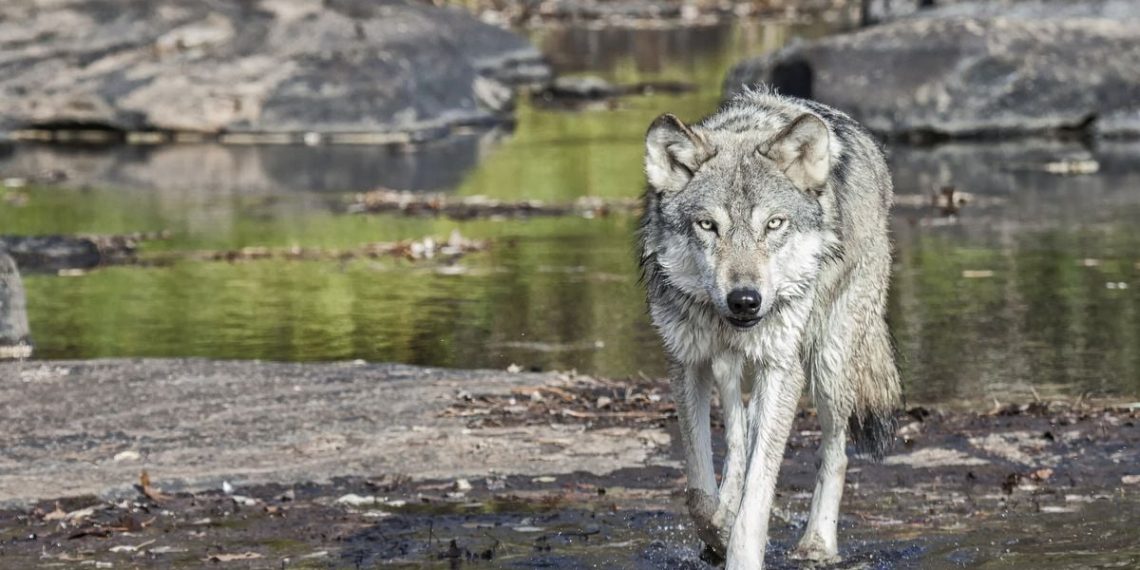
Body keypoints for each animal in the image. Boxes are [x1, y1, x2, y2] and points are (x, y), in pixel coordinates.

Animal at [638, 87, 901, 569]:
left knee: (835, 453)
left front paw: (739, 550)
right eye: (708, 225)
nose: (745, 300)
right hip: (730, 371)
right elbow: (698, 491)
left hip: (827, 365)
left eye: (774, 224)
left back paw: (817, 544)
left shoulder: (781, 368)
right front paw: (717, 532)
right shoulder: (687, 364)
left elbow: (757, 499)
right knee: (740, 436)